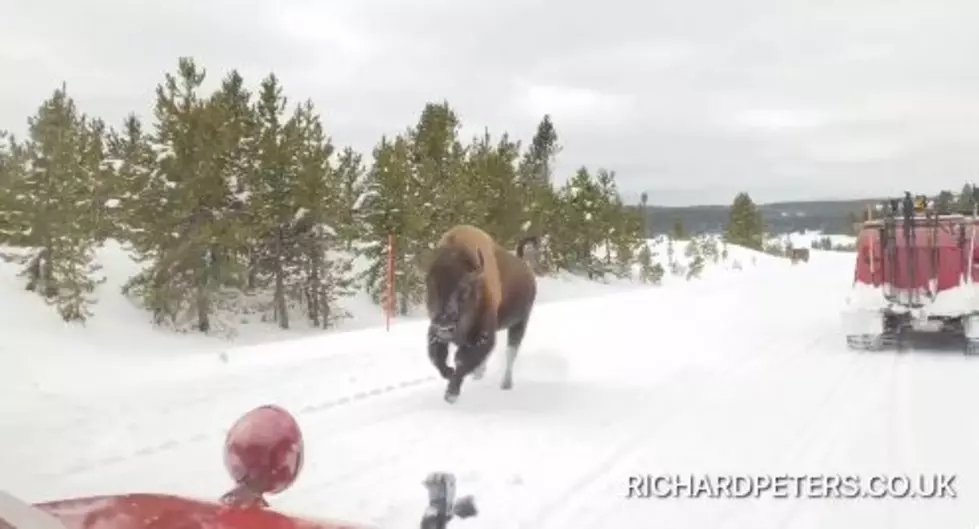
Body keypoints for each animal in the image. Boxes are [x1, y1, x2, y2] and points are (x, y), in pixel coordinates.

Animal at [424, 225, 540, 402]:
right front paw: (450, 373)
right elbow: (437, 357)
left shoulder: (484, 335)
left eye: (464, 289)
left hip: (520, 322)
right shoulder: (434, 332)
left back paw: (505, 384)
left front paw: (451, 394)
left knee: (511, 352)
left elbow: (462, 359)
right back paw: (479, 374)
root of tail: (525, 266)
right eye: (430, 286)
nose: (444, 322)